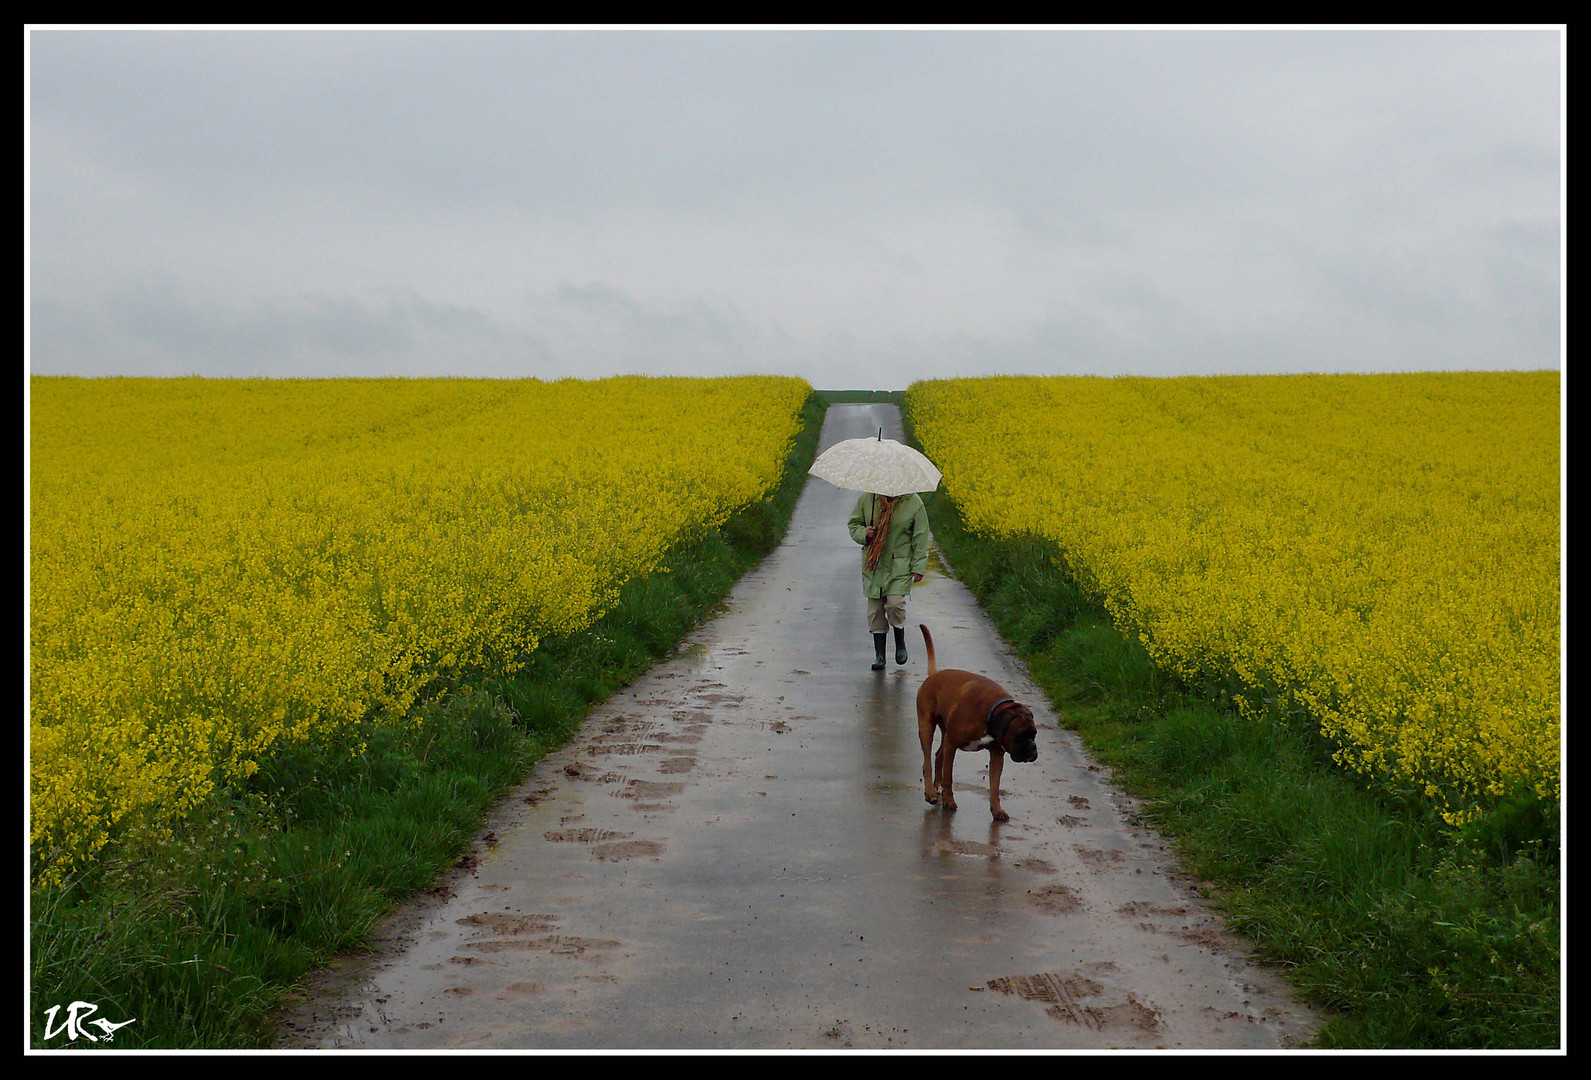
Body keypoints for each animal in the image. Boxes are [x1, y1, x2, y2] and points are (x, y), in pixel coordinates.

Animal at [916, 626, 1037, 820]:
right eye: (1021, 736)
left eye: (1034, 735)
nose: (1033, 748)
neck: (990, 713)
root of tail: (935, 674)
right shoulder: (952, 745)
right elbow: (949, 776)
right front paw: (949, 801)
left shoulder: (997, 755)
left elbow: (994, 786)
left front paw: (997, 810)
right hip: (926, 727)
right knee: (927, 761)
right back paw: (931, 793)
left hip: (944, 734)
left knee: (938, 755)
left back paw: (937, 786)